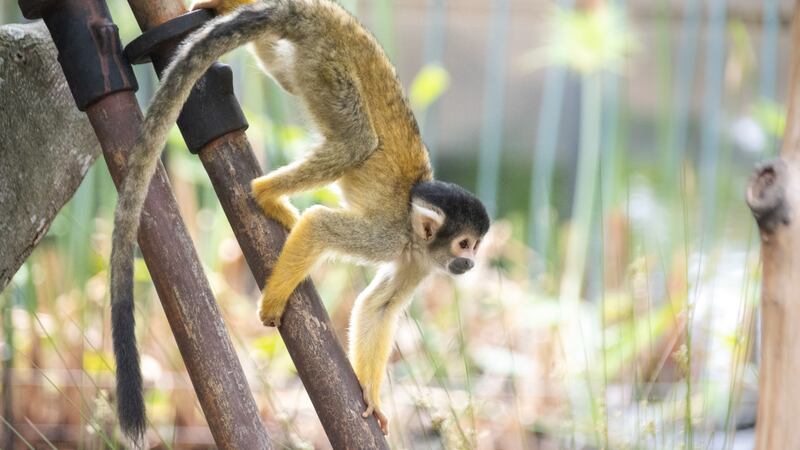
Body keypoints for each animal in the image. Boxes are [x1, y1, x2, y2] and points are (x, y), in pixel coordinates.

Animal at [108, 0, 488, 442]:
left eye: (476, 246)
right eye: (464, 244)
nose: (471, 263)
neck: (415, 236)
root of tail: (321, 14)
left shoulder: (420, 262)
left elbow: (379, 307)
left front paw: (371, 397)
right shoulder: (391, 237)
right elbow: (321, 223)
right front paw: (273, 300)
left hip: (310, 62)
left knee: (285, 72)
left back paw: (229, 8)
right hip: (330, 67)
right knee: (355, 141)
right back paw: (265, 193)